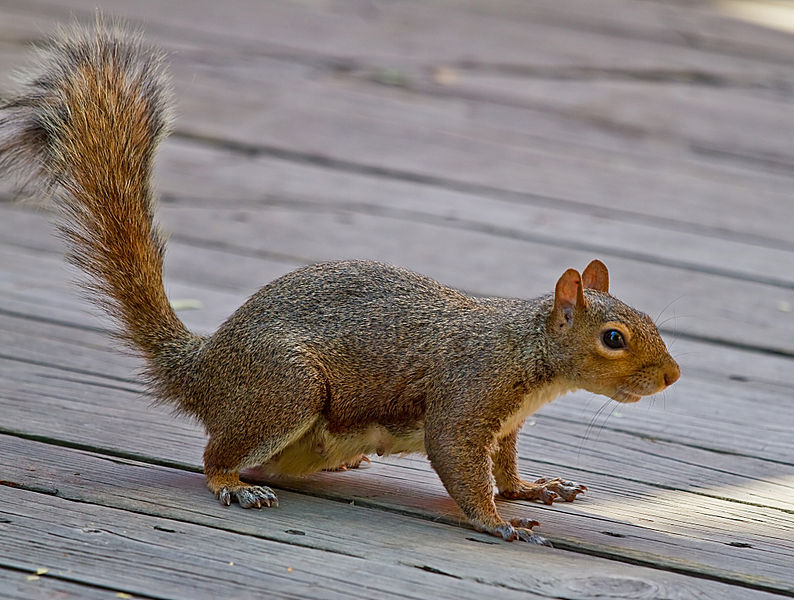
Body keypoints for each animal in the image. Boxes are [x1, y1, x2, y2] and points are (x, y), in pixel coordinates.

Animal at [1, 24, 676, 544]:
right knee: (215, 455)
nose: (671, 377)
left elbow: (504, 469)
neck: (524, 350)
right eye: (614, 338)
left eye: (648, 320)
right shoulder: (467, 397)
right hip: (285, 388)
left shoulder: (506, 425)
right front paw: (496, 522)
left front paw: (533, 489)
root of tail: (204, 369)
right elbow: (458, 462)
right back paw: (233, 485)